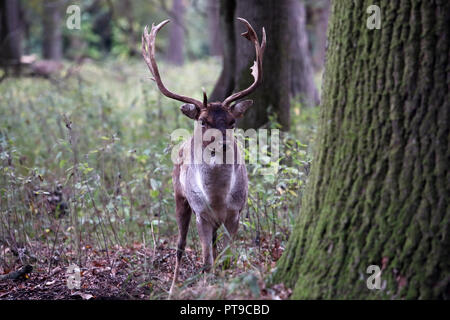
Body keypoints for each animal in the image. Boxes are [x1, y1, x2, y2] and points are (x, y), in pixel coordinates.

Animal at [142, 17, 266, 298]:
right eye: (203, 121)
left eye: (232, 122)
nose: (223, 145)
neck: (218, 198)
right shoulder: (201, 213)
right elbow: (206, 261)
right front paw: (206, 285)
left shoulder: (235, 212)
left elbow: (227, 258)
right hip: (179, 196)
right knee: (179, 246)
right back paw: (172, 288)